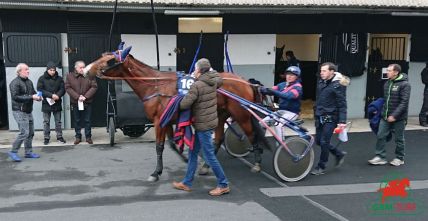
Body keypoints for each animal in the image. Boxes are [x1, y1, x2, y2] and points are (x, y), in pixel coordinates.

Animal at [83, 48, 264, 181]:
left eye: (109, 60)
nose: (85, 70)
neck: (155, 85)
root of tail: (245, 81)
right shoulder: (167, 120)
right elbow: (170, 144)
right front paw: (184, 159)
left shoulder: (159, 121)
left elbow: (159, 146)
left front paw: (155, 173)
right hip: (220, 115)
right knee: (218, 139)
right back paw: (206, 165)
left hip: (241, 114)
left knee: (251, 135)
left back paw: (257, 164)